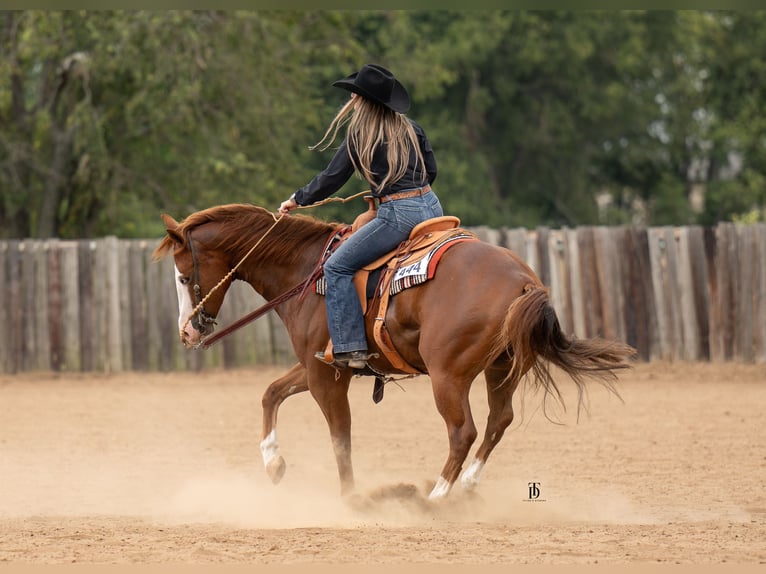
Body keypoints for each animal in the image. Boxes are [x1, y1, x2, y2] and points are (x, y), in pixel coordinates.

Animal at [153, 202, 636, 500]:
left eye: (182, 275)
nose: (187, 332)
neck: (308, 270)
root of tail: (524, 280)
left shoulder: (327, 376)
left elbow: (340, 436)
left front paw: (351, 498)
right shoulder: (319, 365)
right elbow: (271, 393)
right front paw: (273, 464)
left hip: (448, 375)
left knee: (463, 432)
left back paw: (435, 497)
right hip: (503, 369)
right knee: (499, 421)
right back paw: (465, 487)